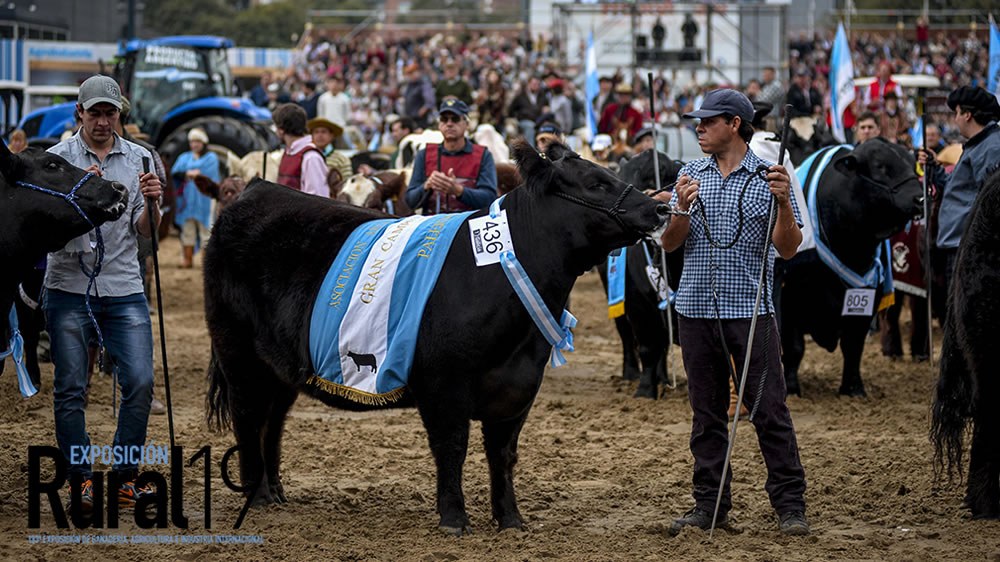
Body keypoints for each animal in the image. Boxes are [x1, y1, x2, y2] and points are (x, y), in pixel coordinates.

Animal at [203, 141, 668, 532]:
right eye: (596, 183)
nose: (659, 208)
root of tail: (253, 191)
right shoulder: (443, 384)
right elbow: (452, 447)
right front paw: (454, 519)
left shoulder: (519, 387)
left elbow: (503, 454)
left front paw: (511, 520)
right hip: (237, 353)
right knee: (248, 417)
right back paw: (257, 496)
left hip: (279, 366)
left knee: (273, 421)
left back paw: (276, 492)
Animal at [784, 138, 924, 396]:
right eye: (880, 167)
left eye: (912, 164)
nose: (920, 199)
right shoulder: (788, 297)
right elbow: (794, 347)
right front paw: (791, 388)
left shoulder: (867, 299)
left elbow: (853, 347)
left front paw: (853, 387)